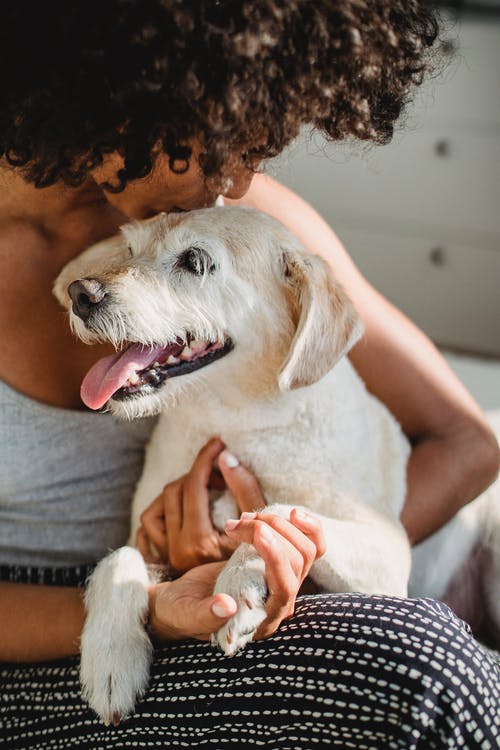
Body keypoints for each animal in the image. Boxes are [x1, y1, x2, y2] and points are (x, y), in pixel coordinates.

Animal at [54, 206, 500, 728]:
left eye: (194, 261)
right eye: (129, 248)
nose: (81, 293)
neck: (235, 420)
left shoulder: (387, 554)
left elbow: (275, 513)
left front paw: (243, 580)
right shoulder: (148, 538)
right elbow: (117, 559)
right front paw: (110, 656)